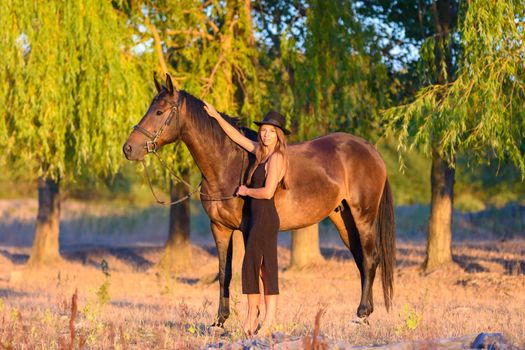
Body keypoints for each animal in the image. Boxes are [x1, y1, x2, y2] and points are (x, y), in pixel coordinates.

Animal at [123, 74, 392, 328]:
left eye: (159, 112)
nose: (128, 149)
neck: (227, 164)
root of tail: (371, 150)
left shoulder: (247, 229)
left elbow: (253, 271)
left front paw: (255, 320)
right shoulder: (219, 228)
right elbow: (225, 272)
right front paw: (220, 321)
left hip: (363, 217)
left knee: (370, 258)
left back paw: (361, 314)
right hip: (343, 220)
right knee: (362, 260)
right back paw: (365, 313)